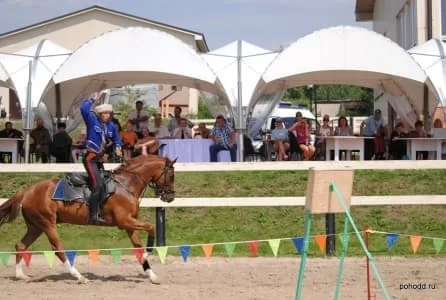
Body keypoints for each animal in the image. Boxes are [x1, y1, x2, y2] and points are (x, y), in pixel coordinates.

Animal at [0, 155, 176, 284]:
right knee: (58, 249)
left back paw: (21, 275)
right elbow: (151, 228)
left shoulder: (130, 225)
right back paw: (79, 276)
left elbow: (138, 247)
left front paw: (152, 275)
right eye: (171, 175)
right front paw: (148, 254)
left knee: (20, 245)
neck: (125, 185)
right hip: (47, 224)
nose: (170, 197)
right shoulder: (124, 221)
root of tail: (27, 190)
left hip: (36, 226)